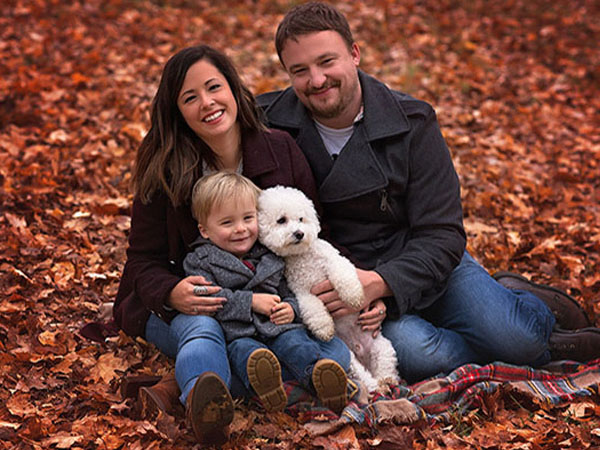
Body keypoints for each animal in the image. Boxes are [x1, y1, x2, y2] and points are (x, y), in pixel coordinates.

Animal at [256, 185, 398, 392]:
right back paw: (377, 387)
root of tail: (360, 350)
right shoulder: (301, 291)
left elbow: (343, 276)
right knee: (365, 378)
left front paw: (354, 296)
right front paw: (324, 329)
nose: (300, 233)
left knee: (386, 368)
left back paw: (388, 381)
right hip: (351, 359)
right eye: (281, 220)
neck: (303, 255)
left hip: (382, 347)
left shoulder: (333, 260)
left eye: (301, 219)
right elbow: (314, 310)